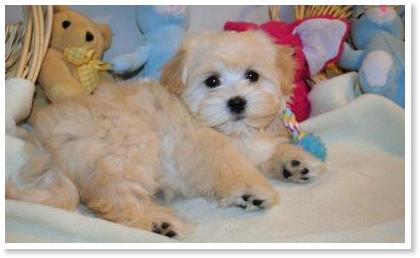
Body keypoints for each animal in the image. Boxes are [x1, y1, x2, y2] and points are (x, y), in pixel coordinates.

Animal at [8, 30, 326, 240]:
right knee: (116, 200)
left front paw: (296, 162)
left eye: (252, 76)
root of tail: (49, 150)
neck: (233, 130)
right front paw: (251, 192)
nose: (237, 102)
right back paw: (158, 223)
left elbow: (270, 151)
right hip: (127, 143)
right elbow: (230, 167)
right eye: (212, 81)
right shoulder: (203, 146)